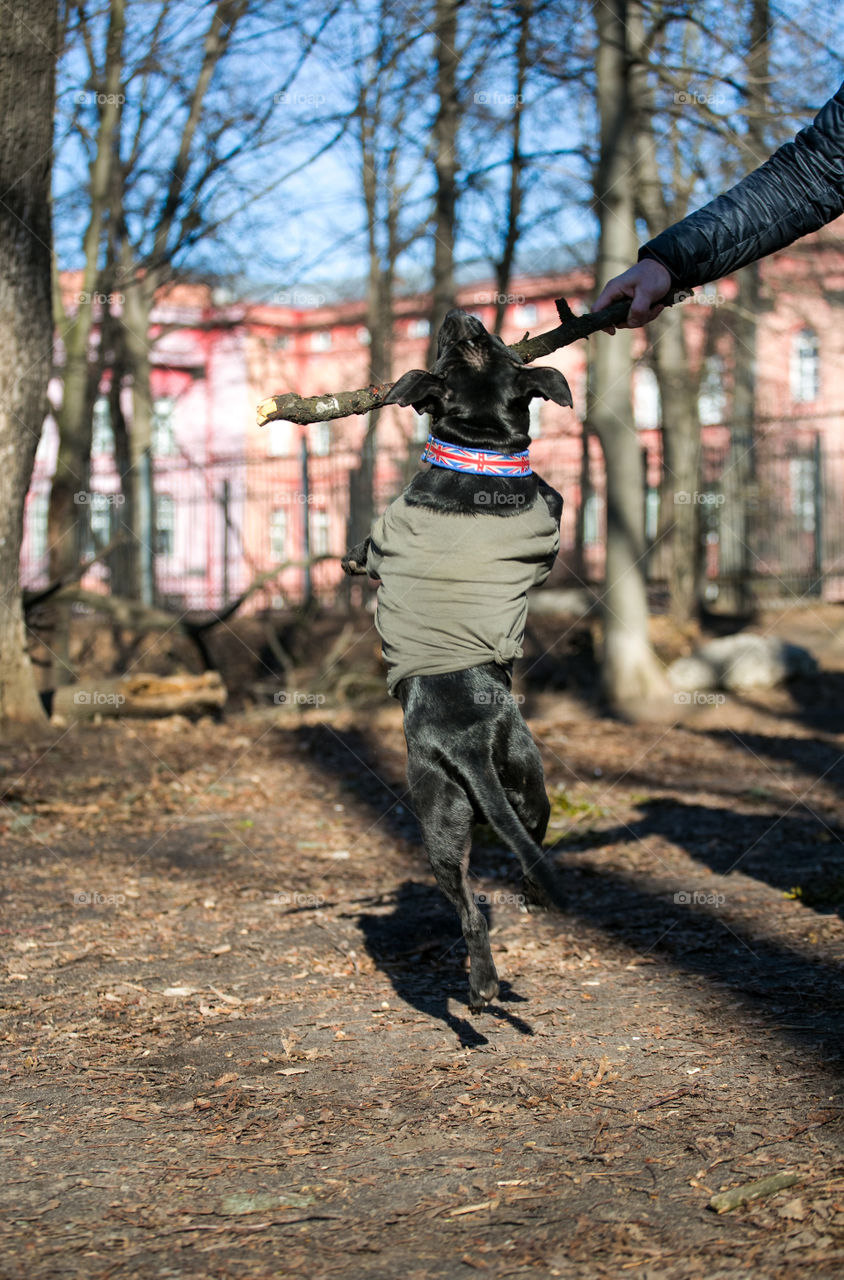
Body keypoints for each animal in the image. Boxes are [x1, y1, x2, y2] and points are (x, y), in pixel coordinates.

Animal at [345, 309, 573, 1008]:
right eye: (466, 345)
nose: (461, 315)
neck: (475, 455)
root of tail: (465, 742)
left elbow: (366, 549)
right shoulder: (549, 515)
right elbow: (555, 497)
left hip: (462, 810)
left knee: (472, 904)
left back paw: (484, 983)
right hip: (515, 784)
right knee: (510, 869)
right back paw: (493, 971)